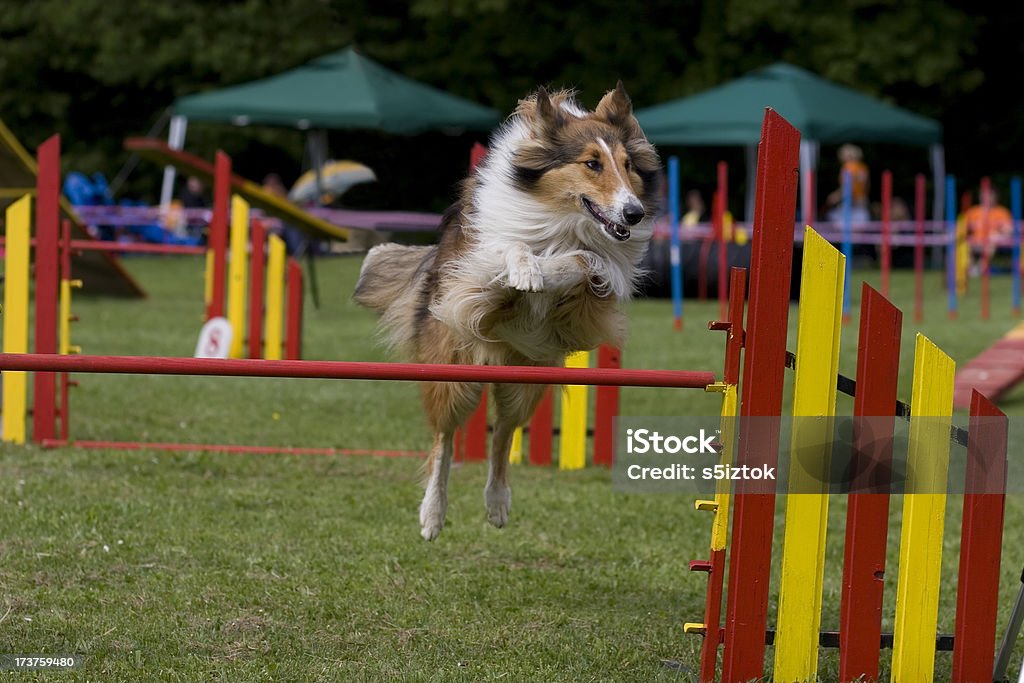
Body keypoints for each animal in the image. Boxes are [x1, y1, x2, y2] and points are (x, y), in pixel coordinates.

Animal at [356, 81, 659, 540]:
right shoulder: (474, 280)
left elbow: (583, 261)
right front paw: (526, 269)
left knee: (502, 435)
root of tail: (493, 362)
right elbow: (508, 249)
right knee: (445, 441)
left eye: (627, 165)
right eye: (592, 163)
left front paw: (547, 270)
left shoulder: (592, 295)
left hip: (526, 381)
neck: (561, 220)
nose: (634, 213)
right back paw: (432, 515)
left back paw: (497, 504)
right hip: (454, 375)